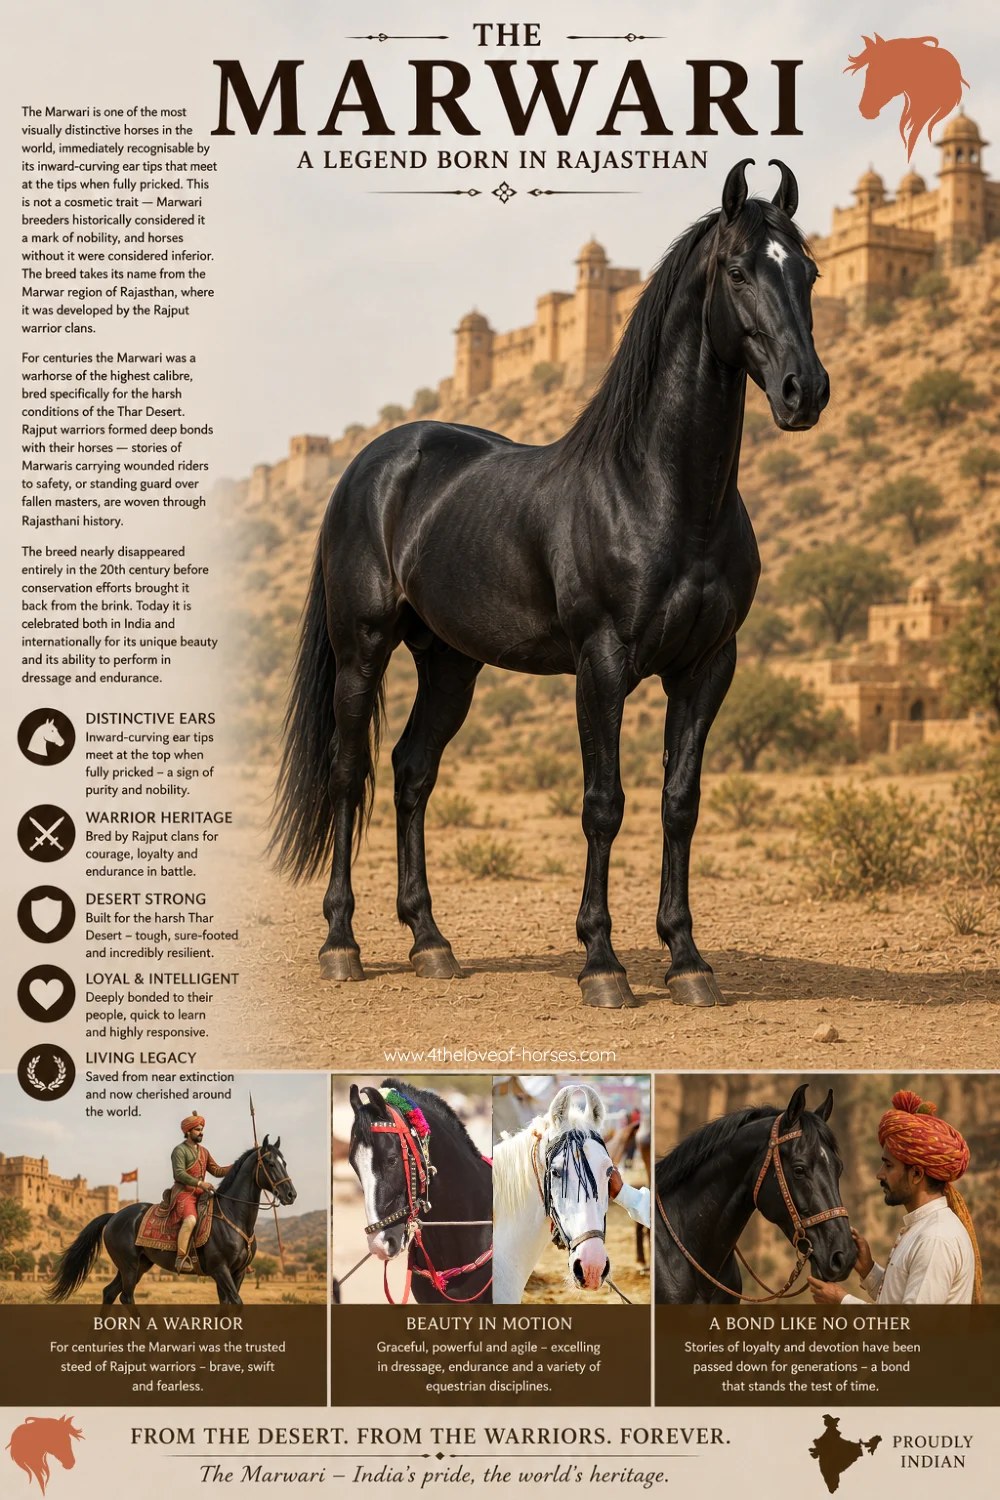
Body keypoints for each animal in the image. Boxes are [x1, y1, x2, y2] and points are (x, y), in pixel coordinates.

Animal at [47, 1135, 295, 1305]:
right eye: (271, 1164)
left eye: (285, 1162)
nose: (291, 1194)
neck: (232, 1217)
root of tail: (115, 1215)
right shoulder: (220, 1269)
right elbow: (236, 1302)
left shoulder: (238, 1272)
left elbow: (227, 1305)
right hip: (128, 1265)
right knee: (126, 1297)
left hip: (139, 1265)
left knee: (109, 1293)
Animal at [270, 158, 829, 1011]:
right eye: (738, 270)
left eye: (809, 271)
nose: (806, 391)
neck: (659, 495)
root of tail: (374, 461)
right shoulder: (601, 666)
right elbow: (604, 806)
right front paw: (602, 963)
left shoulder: (707, 669)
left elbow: (680, 803)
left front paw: (687, 959)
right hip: (362, 649)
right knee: (348, 773)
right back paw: (342, 944)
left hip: (450, 663)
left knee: (411, 771)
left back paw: (430, 942)